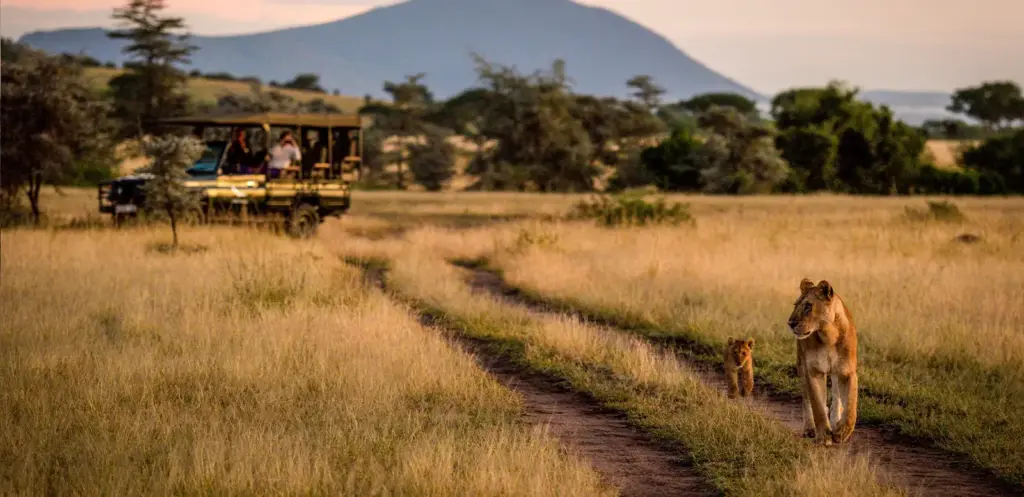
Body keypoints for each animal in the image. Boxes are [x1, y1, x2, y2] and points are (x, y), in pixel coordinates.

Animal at [788, 278, 859, 446]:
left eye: (808, 306)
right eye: (795, 305)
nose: (790, 323)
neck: (828, 335)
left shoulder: (847, 372)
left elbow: (851, 405)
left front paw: (842, 432)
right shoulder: (813, 371)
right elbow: (818, 407)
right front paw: (824, 437)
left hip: (835, 373)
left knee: (837, 398)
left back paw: (835, 421)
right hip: (801, 366)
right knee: (806, 399)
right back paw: (809, 429)